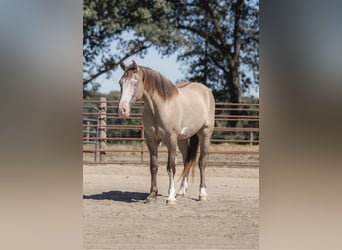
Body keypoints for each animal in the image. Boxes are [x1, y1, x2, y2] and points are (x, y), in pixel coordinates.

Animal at [117, 60, 214, 205]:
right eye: (120, 83)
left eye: (135, 82)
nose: (122, 110)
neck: (159, 108)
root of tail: (205, 90)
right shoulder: (151, 140)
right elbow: (154, 166)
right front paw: (152, 195)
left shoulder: (171, 140)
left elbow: (171, 167)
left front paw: (171, 197)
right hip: (183, 139)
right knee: (186, 161)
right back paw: (181, 192)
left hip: (204, 134)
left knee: (202, 162)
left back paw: (202, 194)